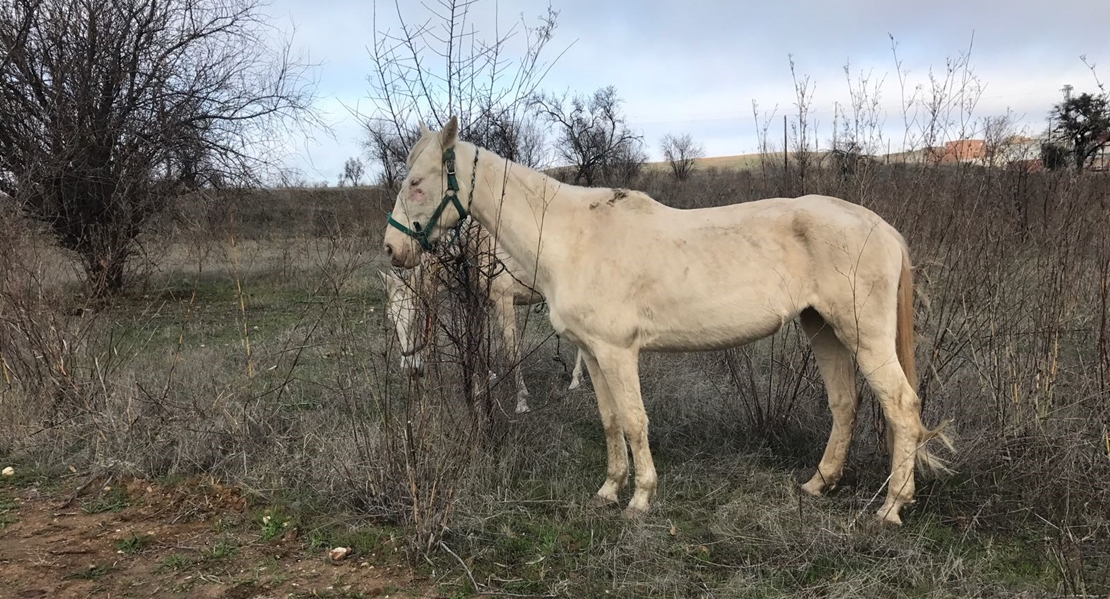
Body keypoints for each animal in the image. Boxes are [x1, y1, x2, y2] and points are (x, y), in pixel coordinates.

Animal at [381, 219, 586, 412]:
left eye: (417, 315)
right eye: (391, 318)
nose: (411, 368)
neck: (475, 245)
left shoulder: (504, 301)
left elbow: (512, 351)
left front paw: (522, 401)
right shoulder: (478, 303)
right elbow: (477, 343)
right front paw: (486, 379)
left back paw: (575, 380)